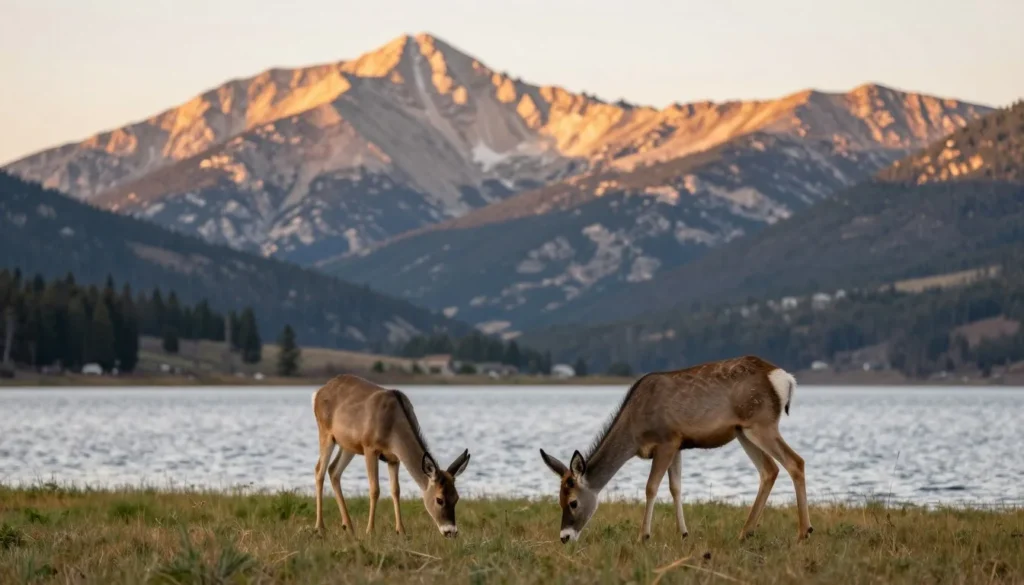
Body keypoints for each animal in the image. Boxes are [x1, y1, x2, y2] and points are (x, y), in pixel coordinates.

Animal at [311, 374, 471, 537]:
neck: (393, 429)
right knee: (319, 471)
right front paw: (370, 531)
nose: (451, 531)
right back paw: (320, 527)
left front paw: (401, 530)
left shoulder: (394, 458)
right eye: (439, 499)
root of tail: (318, 392)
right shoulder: (370, 447)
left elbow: (396, 490)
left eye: (456, 497)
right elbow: (375, 489)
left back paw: (348, 526)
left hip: (348, 445)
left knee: (333, 470)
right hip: (325, 432)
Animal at [539, 355, 812, 544]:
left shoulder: (667, 440)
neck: (634, 431)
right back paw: (746, 532)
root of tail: (785, 378)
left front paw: (643, 536)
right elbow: (676, 487)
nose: (564, 537)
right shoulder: (679, 443)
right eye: (559, 500)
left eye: (573, 502)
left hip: (761, 423)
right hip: (743, 430)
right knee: (769, 470)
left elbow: (651, 487)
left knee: (795, 462)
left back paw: (803, 532)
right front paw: (683, 533)